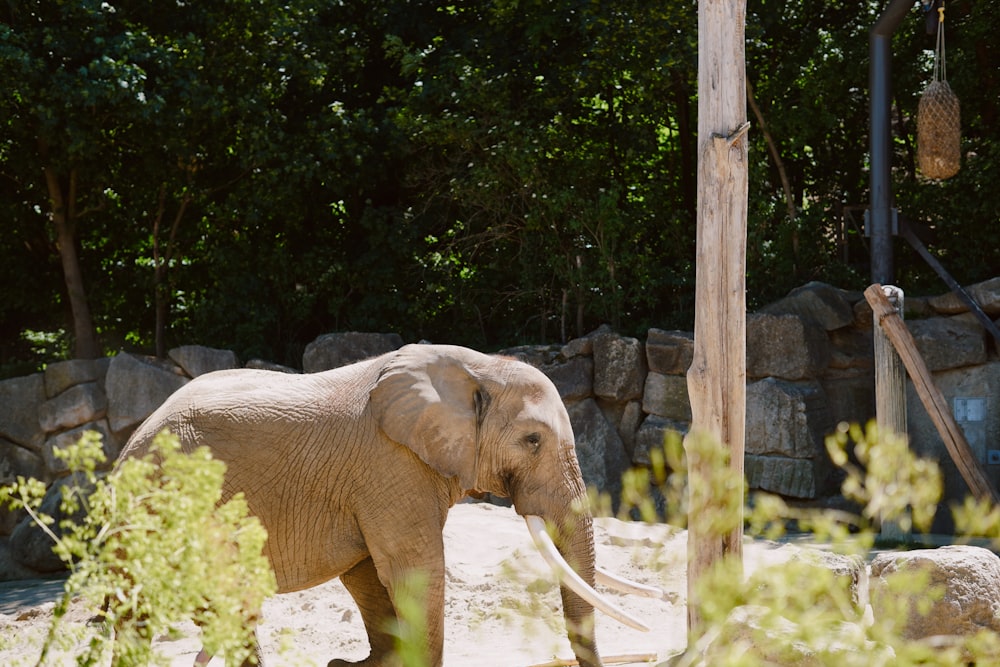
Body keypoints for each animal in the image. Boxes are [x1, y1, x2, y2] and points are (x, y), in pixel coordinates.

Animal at [119, 344, 648, 667]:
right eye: (533, 440)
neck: (475, 367)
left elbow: (368, 573)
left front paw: (357, 664)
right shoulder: (389, 465)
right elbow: (413, 569)